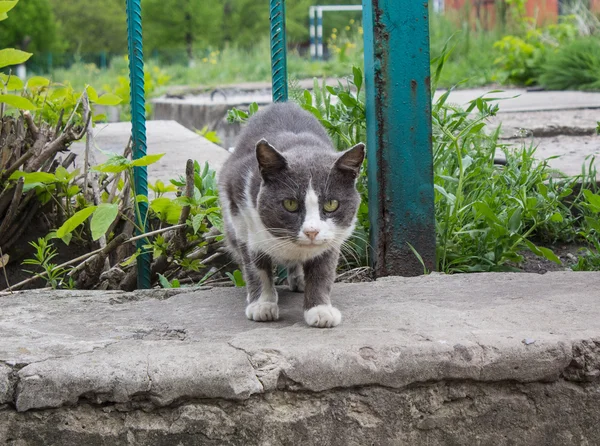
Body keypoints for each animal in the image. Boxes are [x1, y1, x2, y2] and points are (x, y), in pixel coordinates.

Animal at [218, 103, 364, 330]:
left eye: (331, 204)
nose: (312, 231)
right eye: (290, 204)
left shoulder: (333, 239)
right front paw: (262, 304)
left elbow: (323, 271)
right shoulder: (242, 216)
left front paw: (320, 310)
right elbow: (256, 265)